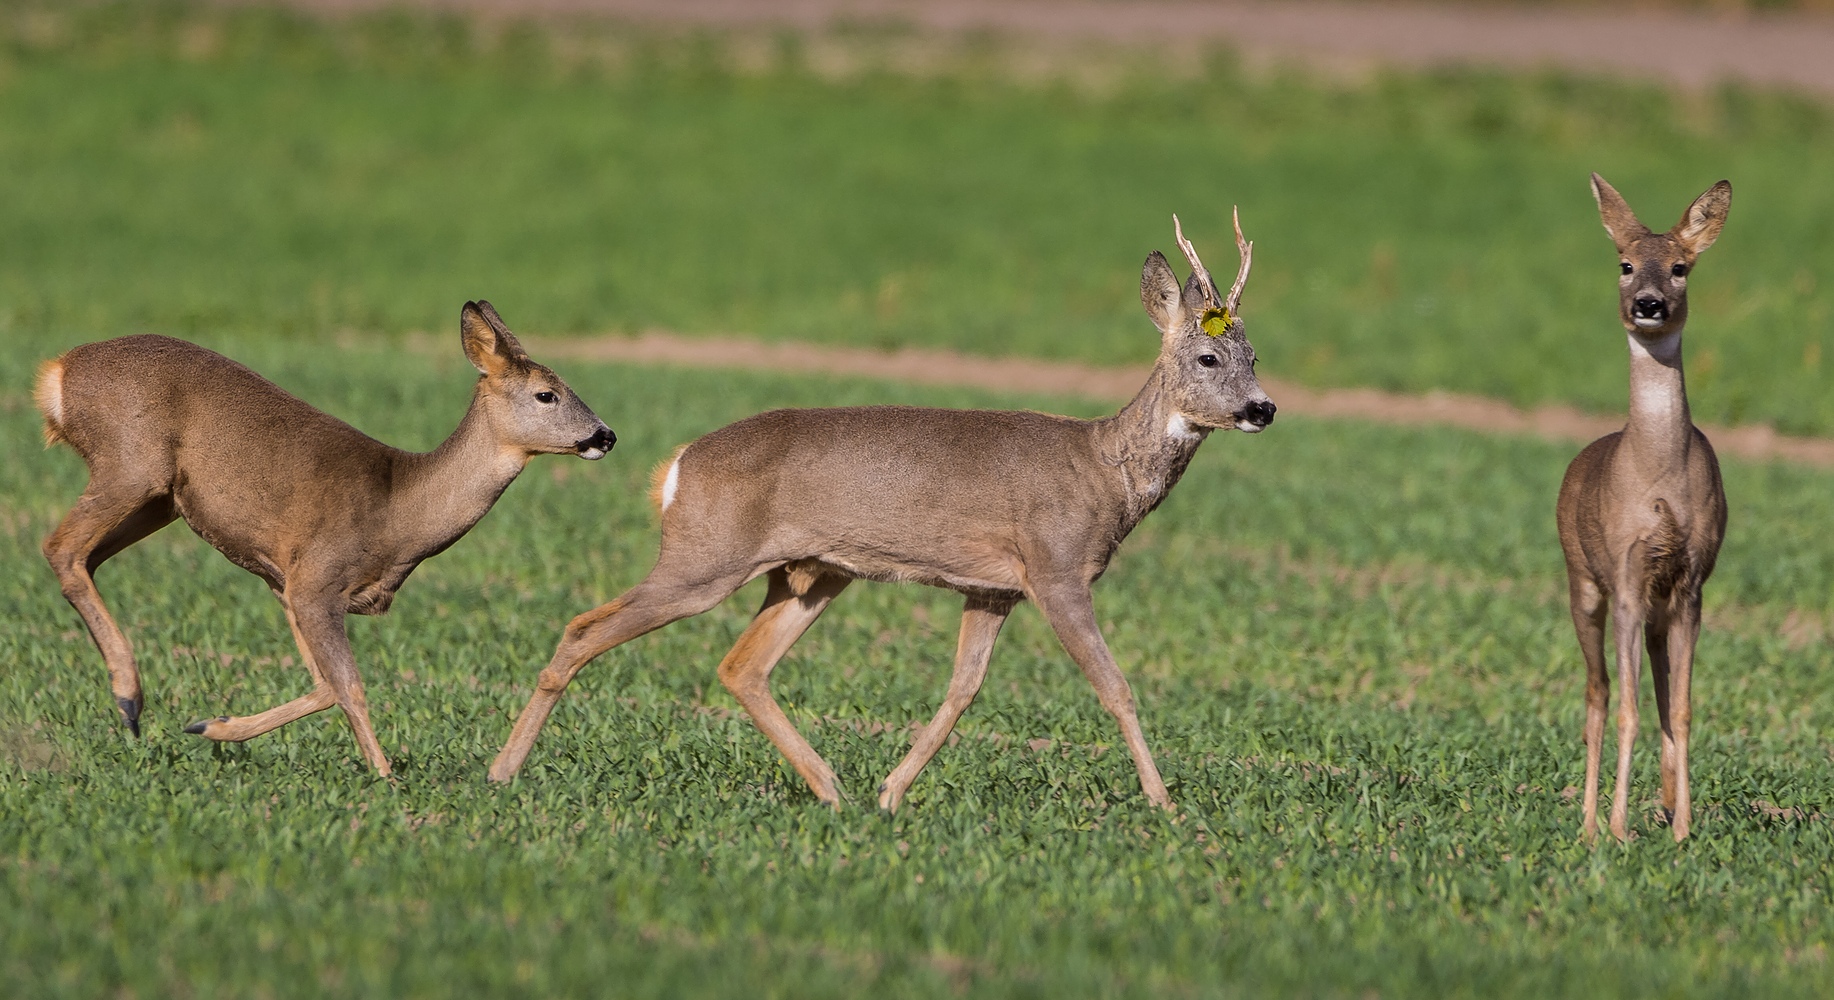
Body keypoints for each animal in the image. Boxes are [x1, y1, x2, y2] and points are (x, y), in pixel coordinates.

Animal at [37, 300, 616, 774]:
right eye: (547, 394)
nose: (606, 435)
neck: (397, 510)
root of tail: (57, 373)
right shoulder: (317, 580)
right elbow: (350, 687)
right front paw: (386, 780)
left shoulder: (285, 581)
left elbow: (324, 687)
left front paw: (213, 726)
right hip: (132, 464)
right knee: (60, 547)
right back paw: (129, 699)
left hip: (160, 502)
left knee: (84, 558)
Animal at [495, 212, 1283, 811]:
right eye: (1209, 358)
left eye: (1255, 355)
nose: (1264, 408)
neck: (1102, 472)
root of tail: (677, 467)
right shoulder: (1056, 569)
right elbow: (1115, 686)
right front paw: (1166, 805)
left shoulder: (992, 587)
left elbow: (962, 691)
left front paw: (892, 792)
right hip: (704, 557)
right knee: (585, 627)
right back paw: (504, 771)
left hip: (811, 572)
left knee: (741, 666)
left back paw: (830, 787)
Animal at [1562, 175, 1731, 836]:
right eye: (1625, 264)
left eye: (1681, 267)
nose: (1650, 303)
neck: (1658, 477)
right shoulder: (1627, 577)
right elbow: (1628, 708)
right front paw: (1614, 830)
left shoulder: (1689, 585)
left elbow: (1679, 710)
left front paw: (1683, 829)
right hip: (1583, 583)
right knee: (1598, 694)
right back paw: (1587, 825)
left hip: (1659, 613)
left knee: (1653, 697)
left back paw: (1660, 805)